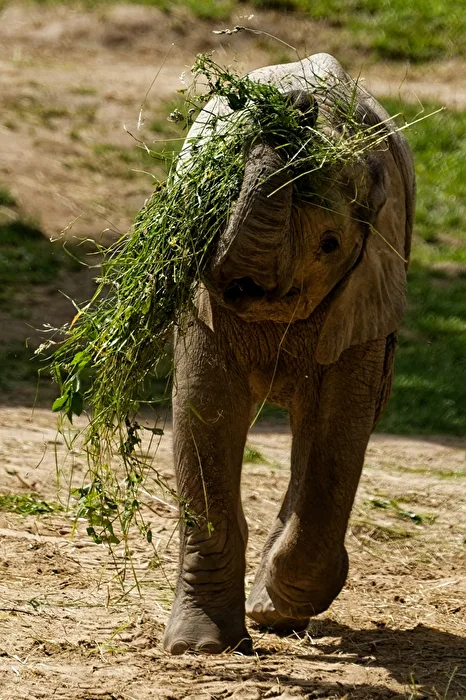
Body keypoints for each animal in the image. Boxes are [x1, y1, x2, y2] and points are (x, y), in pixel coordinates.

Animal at [163, 53, 415, 655]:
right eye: (210, 206)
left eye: (329, 244)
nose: (296, 106)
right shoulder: (202, 306)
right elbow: (204, 415)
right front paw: (202, 648)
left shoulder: (368, 291)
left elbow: (336, 434)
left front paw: (276, 612)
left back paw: (276, 611)